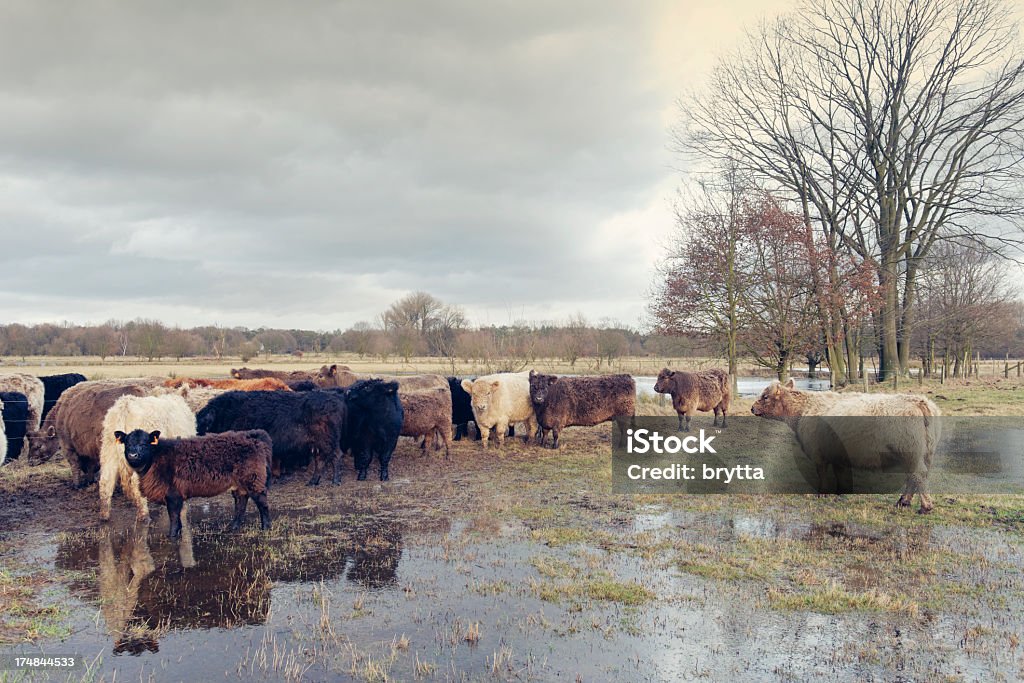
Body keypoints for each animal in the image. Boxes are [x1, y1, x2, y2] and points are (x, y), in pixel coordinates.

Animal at [113, 428, 272, 540]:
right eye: (127, 443)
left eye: (144, 443)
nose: (133, 455)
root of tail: (252, 435)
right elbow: (177, 518)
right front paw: (178, 533)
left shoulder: (173, 495)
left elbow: (174, 517)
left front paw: (172, 536)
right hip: (240, 484)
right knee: (241, 502)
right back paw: (233, 526)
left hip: (253, 480)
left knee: (262, 502)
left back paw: (265, 527)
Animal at [195, 389, 348, 485]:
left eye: (203, 424)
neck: (228, 413)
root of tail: (336, 399)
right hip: (317, 444)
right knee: (320, 460)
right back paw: (313, 482)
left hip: (329, 441)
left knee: (336, 455)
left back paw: (335, 481)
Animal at [749, 378, 937, 511]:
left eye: (765, 396)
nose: (752, 408)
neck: (803, 410)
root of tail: (918, 401)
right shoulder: (837, 455)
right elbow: (840, 474)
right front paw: (841, 492)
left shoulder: (818, 453)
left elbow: (822, 474)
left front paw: (822, 493)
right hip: (924, 453)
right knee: (916, 476)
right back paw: (903, 502)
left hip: (910, 451)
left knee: (917, 475)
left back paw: (924, 506)